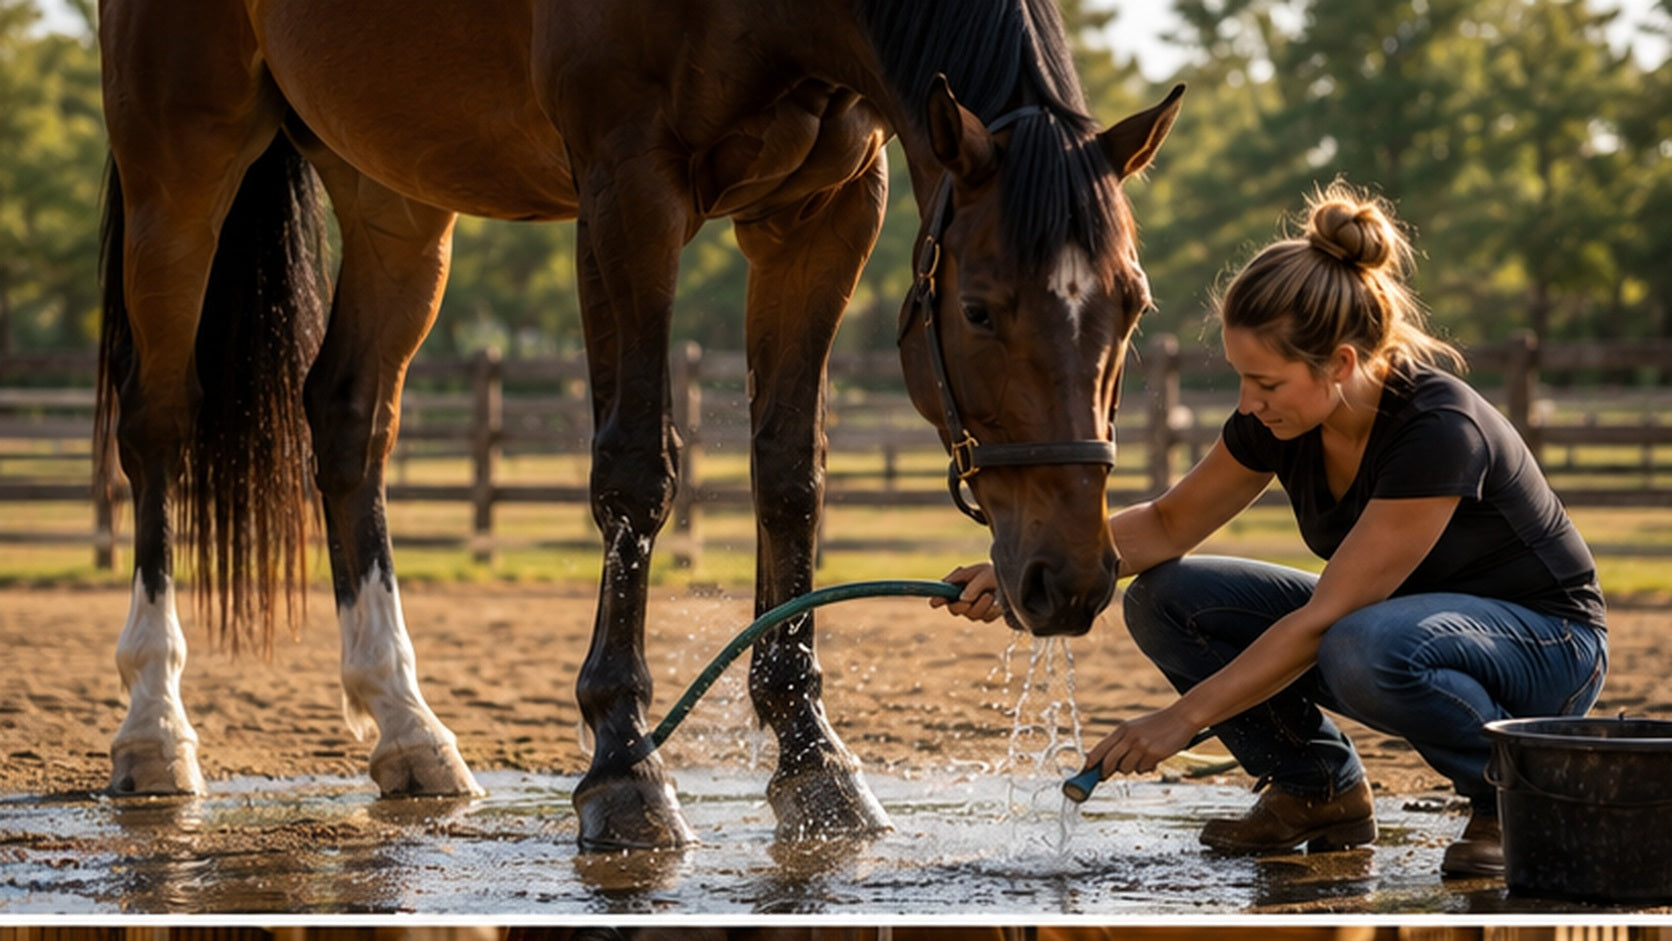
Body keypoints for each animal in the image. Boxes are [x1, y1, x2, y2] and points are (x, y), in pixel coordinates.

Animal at [94, 0, 1182, 848]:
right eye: (980, 310)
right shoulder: (629, 192)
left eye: (1133, 303)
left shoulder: (822, 211)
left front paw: (812, 758)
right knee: (158, 422)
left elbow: (789, 471)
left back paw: (407, 728)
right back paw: (155, 726)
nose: (1071, 580)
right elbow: (635, 468)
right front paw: (624, 764)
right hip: (179, 165)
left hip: (393, 192)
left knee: (350, 419)